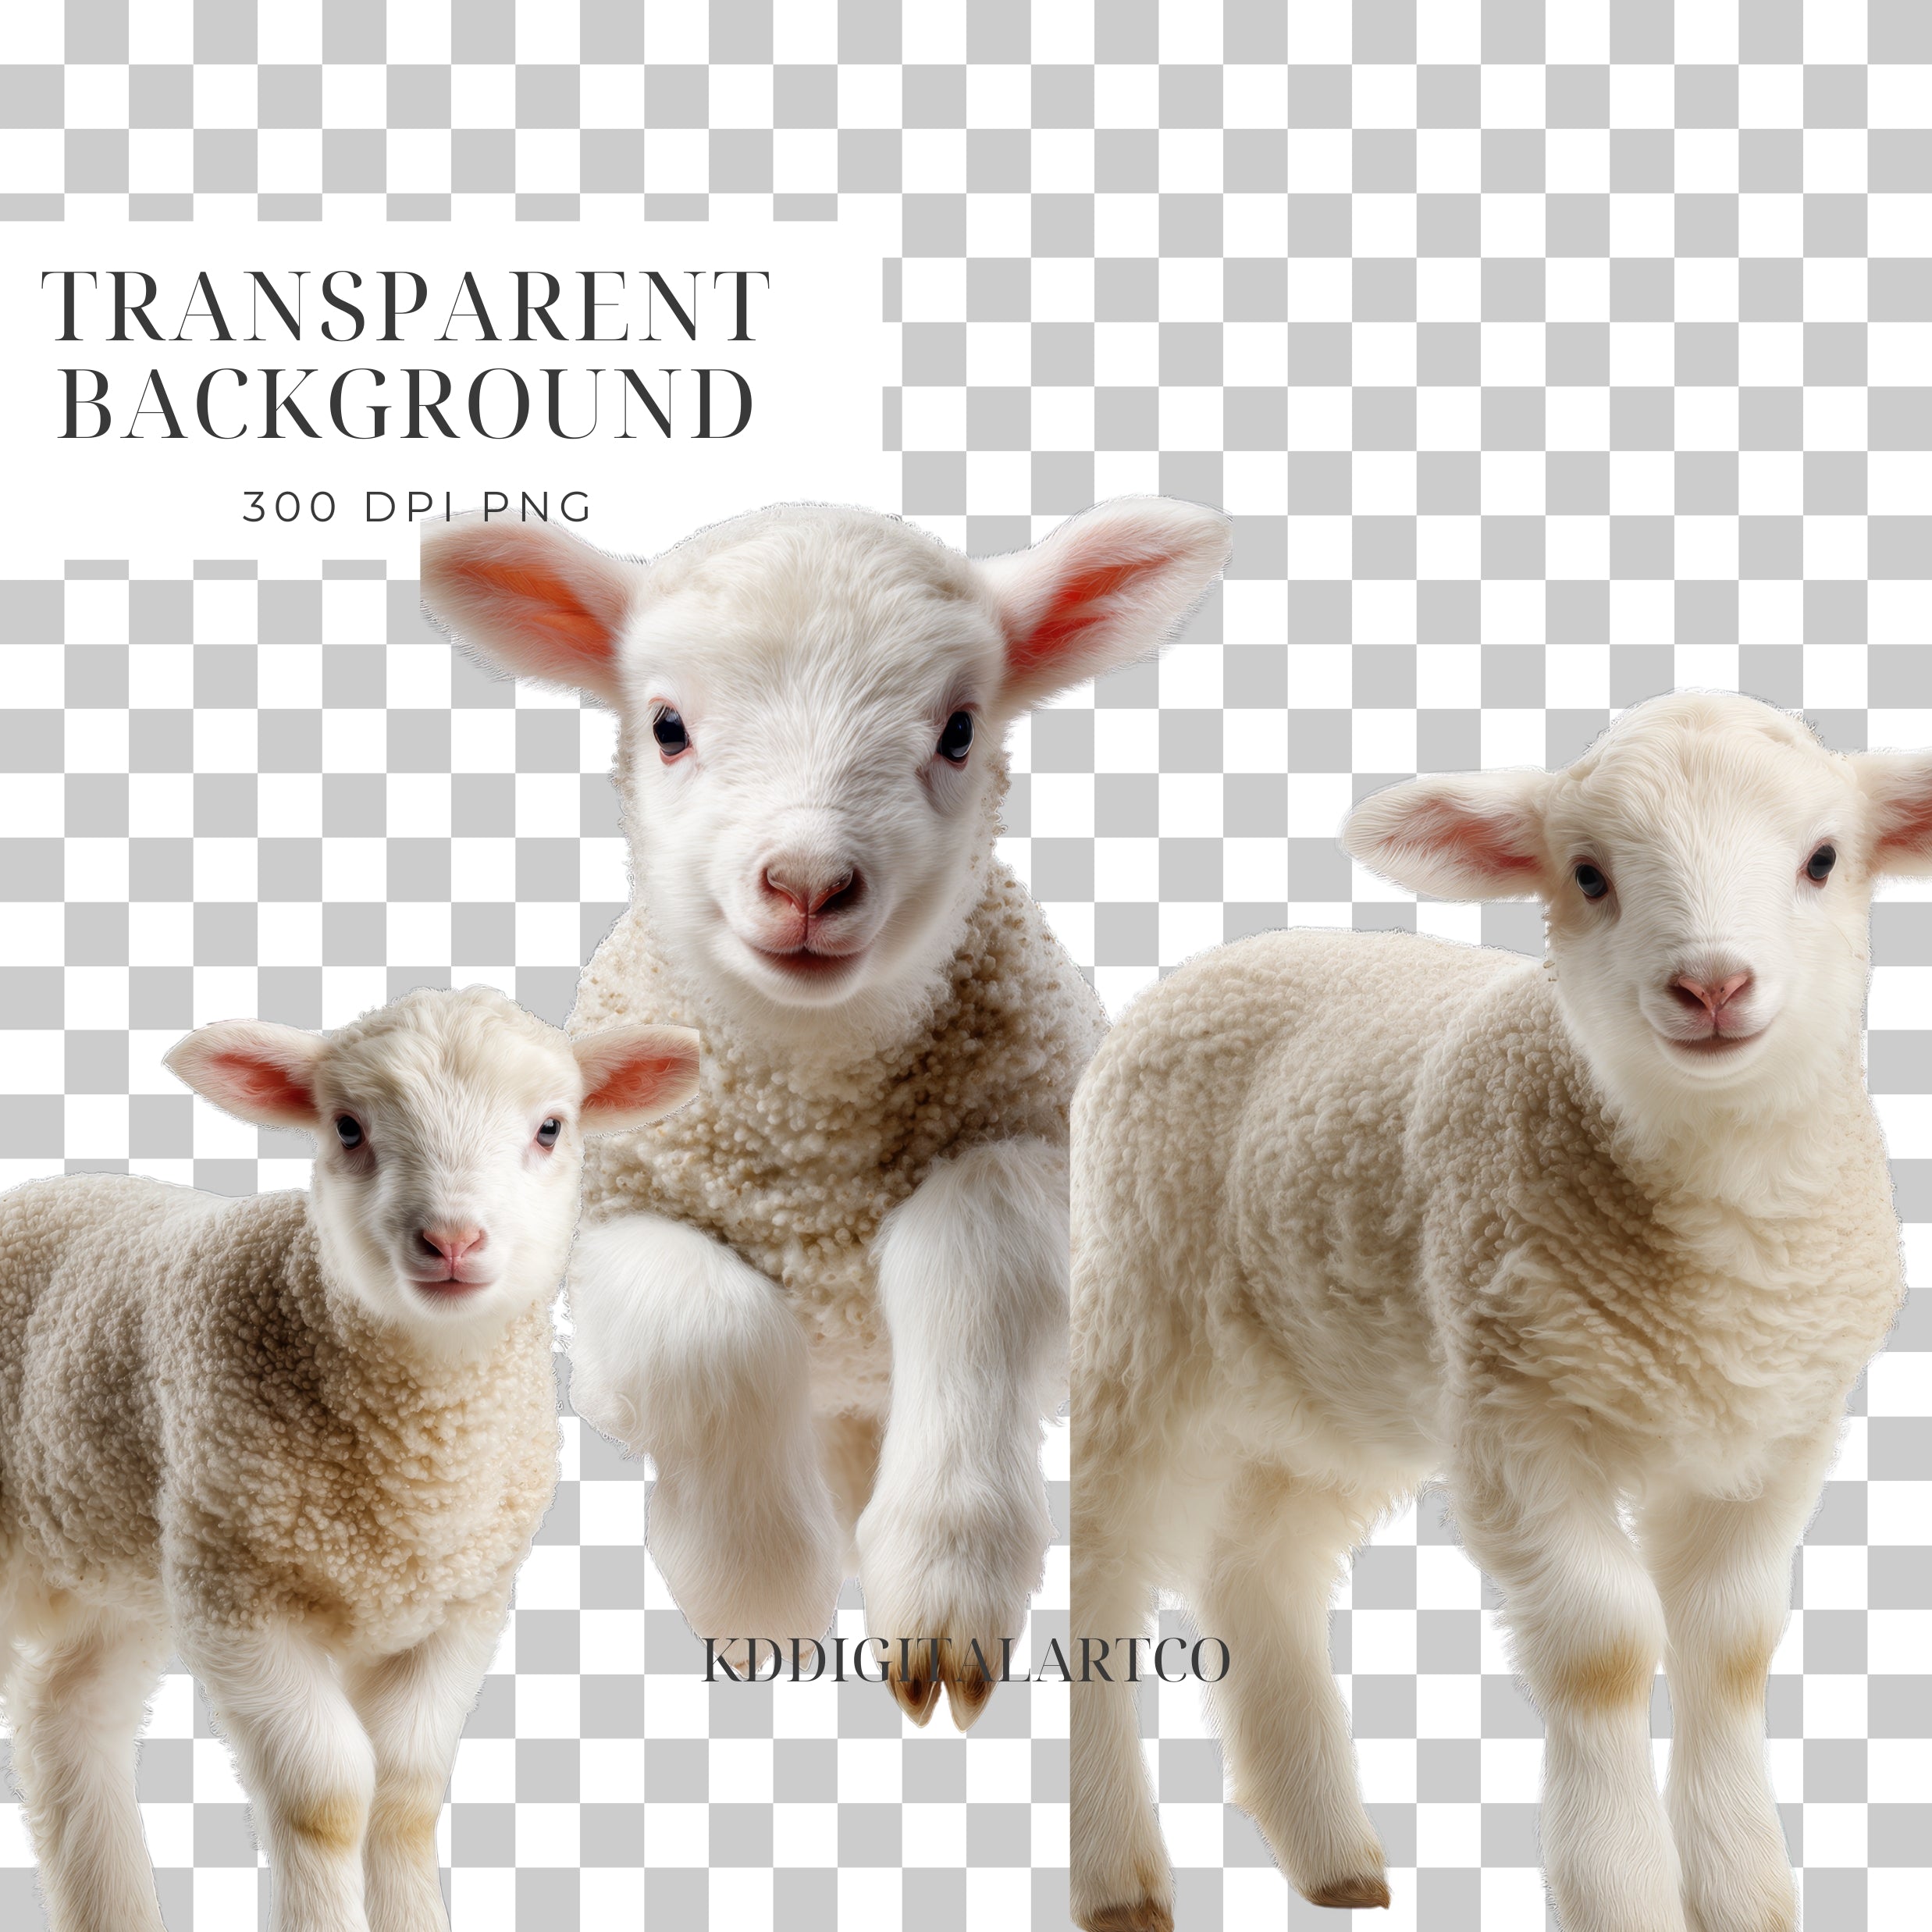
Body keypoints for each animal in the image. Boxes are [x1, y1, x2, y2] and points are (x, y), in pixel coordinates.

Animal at [0, 986, 698, 1932]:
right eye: (347, 1128)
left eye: (552, 1127)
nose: (452, 1240)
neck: (418, 1462)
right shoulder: (240, 1595)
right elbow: (324, 1797)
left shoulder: (460, 1606)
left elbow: (404, 1791)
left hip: (117, 1560)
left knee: (69, 1717)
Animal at [420, 499, 1231, 1726]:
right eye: (666, 726)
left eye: (958, 729)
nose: (806, 883)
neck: (816, 1139)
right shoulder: (606, 1224)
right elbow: (703, 1325)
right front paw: (758, 1594)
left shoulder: (1045, 1161)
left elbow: (974, 1252)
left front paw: (942, 1591)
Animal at [1069, 692, 1913, 1932]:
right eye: (1587, 872)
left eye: (1821, 859)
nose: (1711, 987)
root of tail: (1230, 951)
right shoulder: (1520, 1415)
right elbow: (1604, 1648)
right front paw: (1620, 1893)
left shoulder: (1779, 1437)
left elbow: (1730, 1646)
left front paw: (1741, 1890)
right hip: (1140, 1319)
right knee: (1105, 1579)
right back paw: (1116, 1870)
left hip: (1331, 1385)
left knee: (1259, 1567)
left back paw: (1329, 1852)